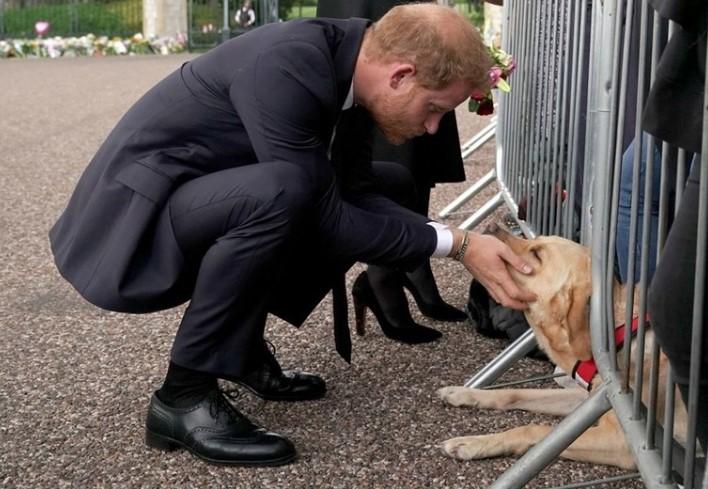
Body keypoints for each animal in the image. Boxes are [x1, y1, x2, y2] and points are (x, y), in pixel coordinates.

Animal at [436, 231, 684, 468]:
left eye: (537, 254)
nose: (490, 227)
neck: (619, 335)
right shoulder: (589, 399)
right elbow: (516, 392)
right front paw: (463, 394)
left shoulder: (622, 442)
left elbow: (533, 429)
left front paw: (473, 443)